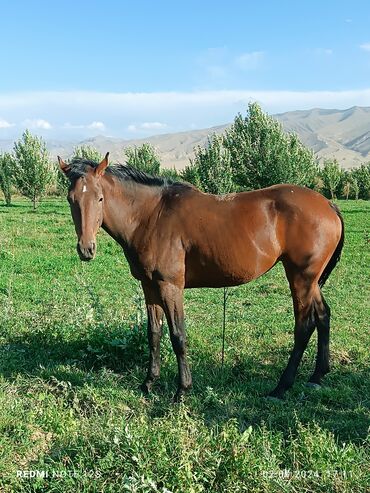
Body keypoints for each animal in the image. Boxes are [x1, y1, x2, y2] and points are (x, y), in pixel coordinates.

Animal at [57, 153, 344, 400]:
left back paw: (281, 387)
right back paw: (317, 376)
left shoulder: (170, 286)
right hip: (312, 281)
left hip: (301, 278)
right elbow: (153, 334)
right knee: (323, 315)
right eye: (72, 199)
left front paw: (182, 390)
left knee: (304, 325)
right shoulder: (149, 287)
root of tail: (327, 204)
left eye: (100, 198)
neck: (151, 216)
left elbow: (178, 335)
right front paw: (148, 383)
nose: (86, 249)